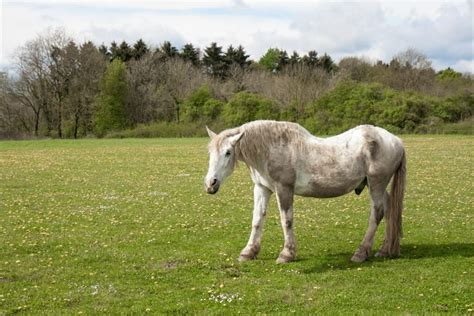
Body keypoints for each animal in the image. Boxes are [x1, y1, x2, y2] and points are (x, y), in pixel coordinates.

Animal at [203, 119, 404, 262]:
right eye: (210, 152)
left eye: (228, 152)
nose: (210, 183)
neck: (270, 149)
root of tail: (396, 141)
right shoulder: (262, 188)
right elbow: (257, 219)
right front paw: (248, 252)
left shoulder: (284, 189)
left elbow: (286, 220)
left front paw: (287, 254)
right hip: (375, 185)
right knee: (389, 209)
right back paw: (384, 250)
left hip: (376, 184)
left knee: (376, 213)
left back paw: (361, 253)